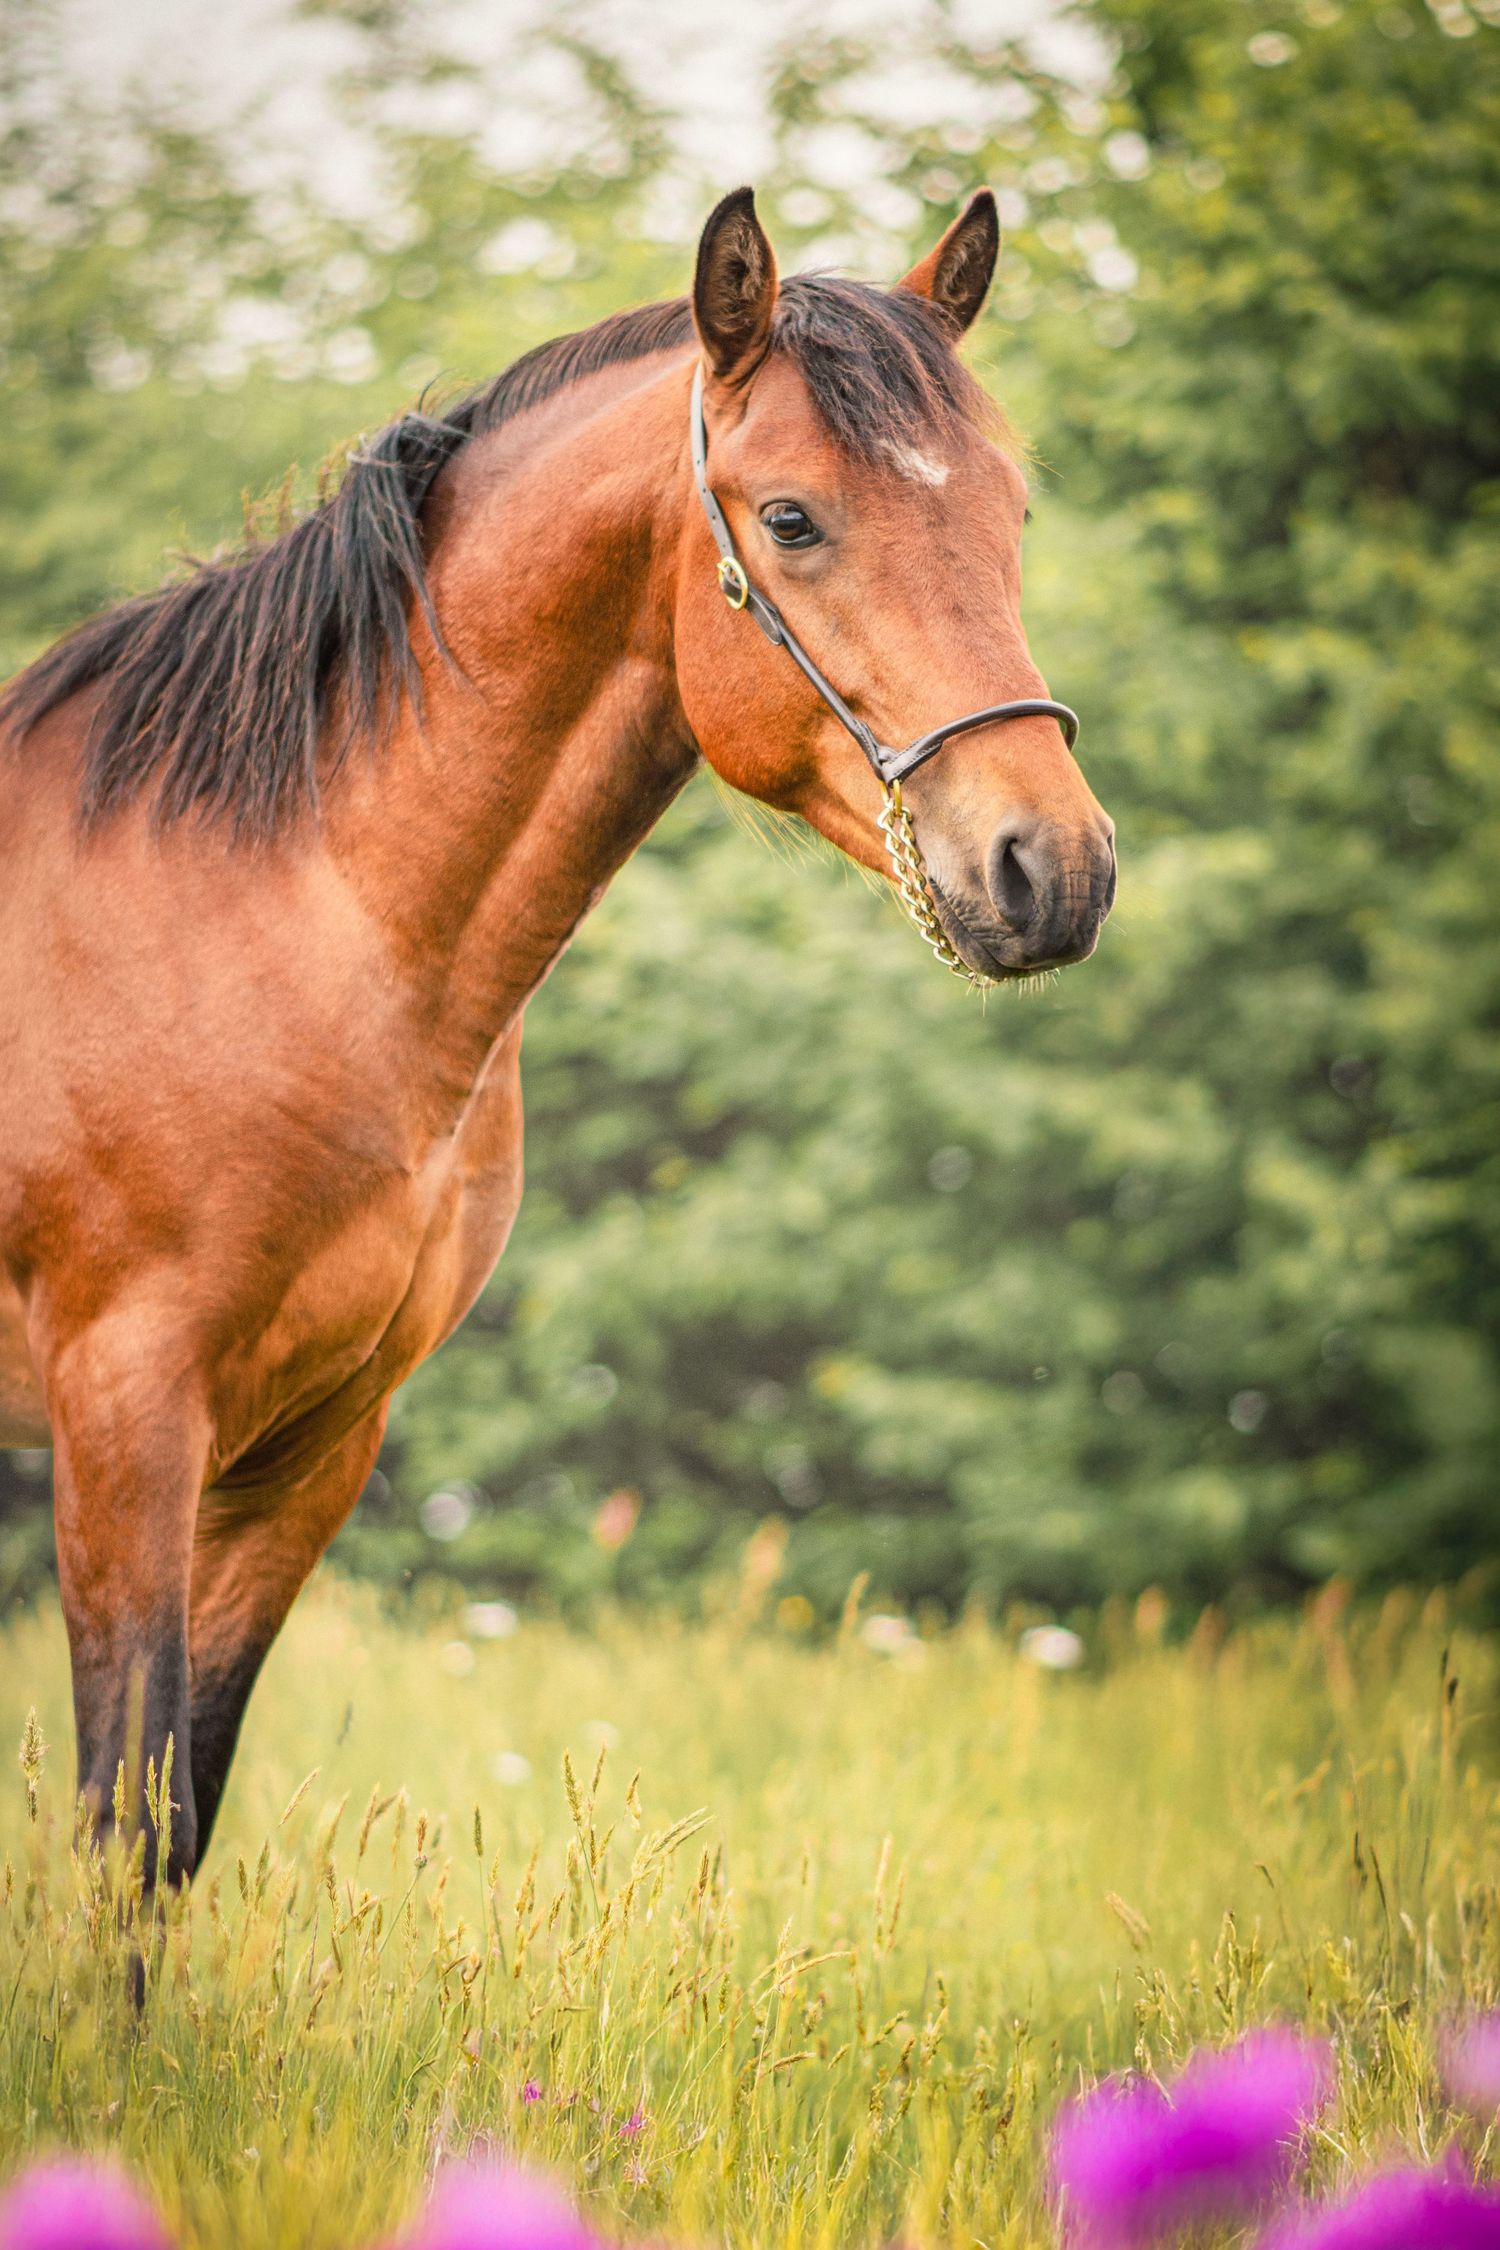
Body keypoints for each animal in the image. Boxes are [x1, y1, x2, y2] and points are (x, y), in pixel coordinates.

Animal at [0, 187, 1115, 1886]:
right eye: (791, 518)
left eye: (1014, 513)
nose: (1053, 867)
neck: (286, 911)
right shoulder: (126, 1413)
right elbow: (128, 1825)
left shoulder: (313, 1440)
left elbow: (180, 1805)